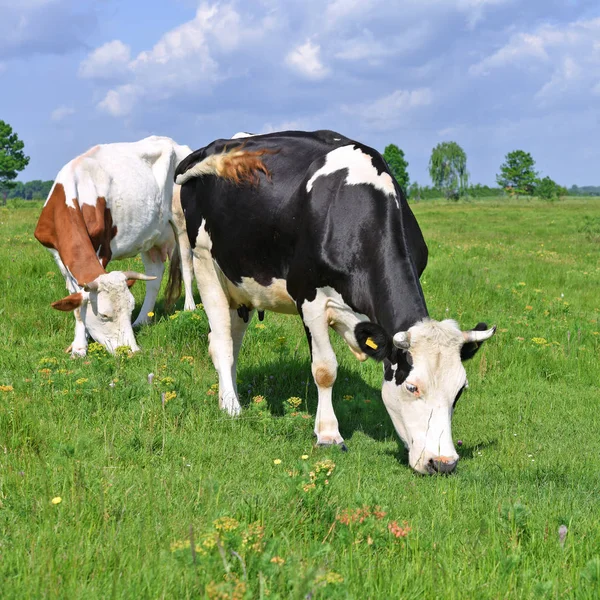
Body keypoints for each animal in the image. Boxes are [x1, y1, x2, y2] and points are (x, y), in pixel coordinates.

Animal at [34, 135, 195, 356]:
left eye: (129, 309)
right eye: (104, 315)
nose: (131, 350)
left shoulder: (102, 249)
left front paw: (81, 344)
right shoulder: (58, 255)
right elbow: (76, 302)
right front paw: (79, 344)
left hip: (182, 223)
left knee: (187, 268)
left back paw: (190, 309)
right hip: (151, 236)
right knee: (154, 276)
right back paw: (142, 320)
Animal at [175, 130, 496, 474]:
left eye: (459, 391)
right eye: (413, 387)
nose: (443, 463)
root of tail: (215, 145)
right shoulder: (309, 297)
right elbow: (325, 369)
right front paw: (328, 435)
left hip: (241, 286)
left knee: (233, 344)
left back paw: (229, 396)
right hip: (205, 263)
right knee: (220, 342)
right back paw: (232, 408)